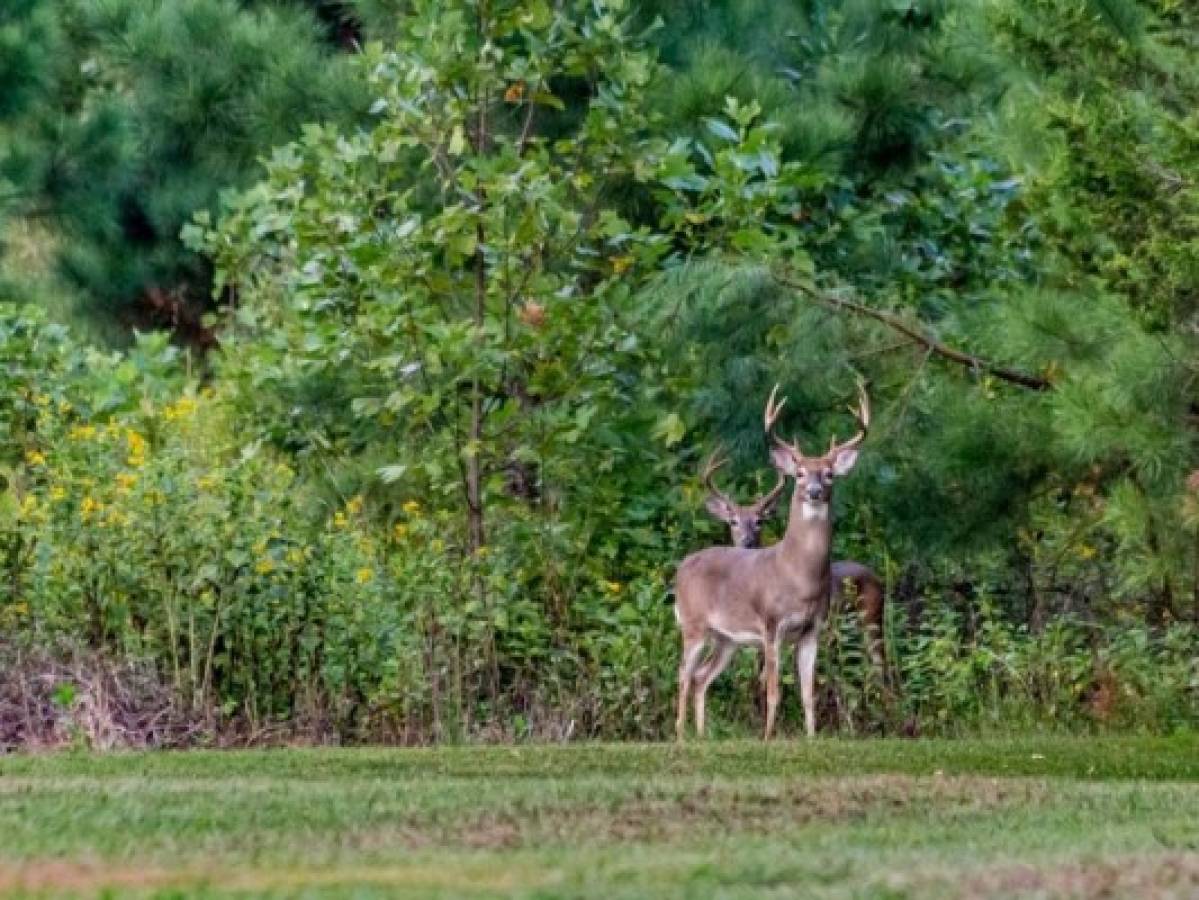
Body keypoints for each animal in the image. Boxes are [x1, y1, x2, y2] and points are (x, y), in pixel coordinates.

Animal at [681, 383, 868, 743]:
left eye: (828, 474)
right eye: (799, 473)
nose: (814, 491)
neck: (797, 575)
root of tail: (683, 565)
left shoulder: (812, 629)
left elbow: (808, 692)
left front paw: (812, 738)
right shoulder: (771, 625)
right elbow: (773, 691)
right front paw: (767, 738)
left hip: (726, 639)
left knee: (701, 676)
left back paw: (701, 735)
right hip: (692, 624)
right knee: (683, 674)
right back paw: (680, 735)